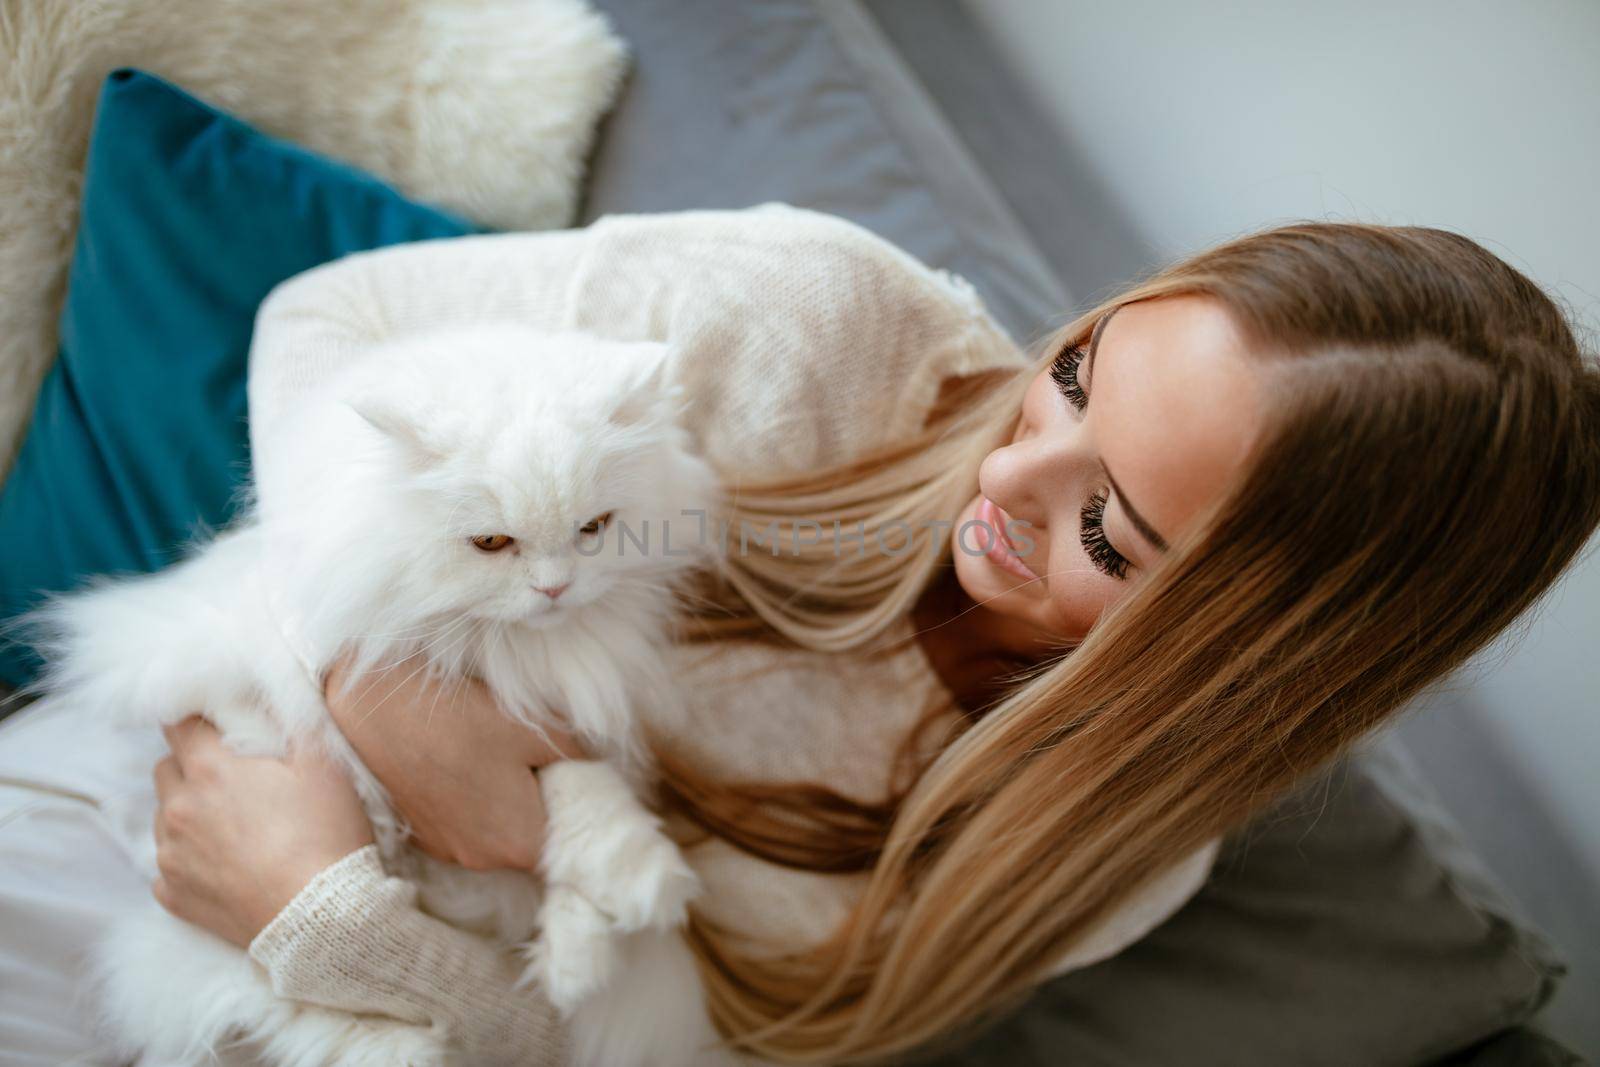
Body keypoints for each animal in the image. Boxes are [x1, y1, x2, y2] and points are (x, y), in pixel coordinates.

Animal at [21, 323, 732, 1067]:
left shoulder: (570, 714)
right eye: (491, 542)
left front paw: (590, 944)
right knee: (297, 1003)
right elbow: (564, 782)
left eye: (593, 528)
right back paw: (407, 1045)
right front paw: (640, 881)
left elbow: (575, 800)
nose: (555, 588)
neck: (506, 652)